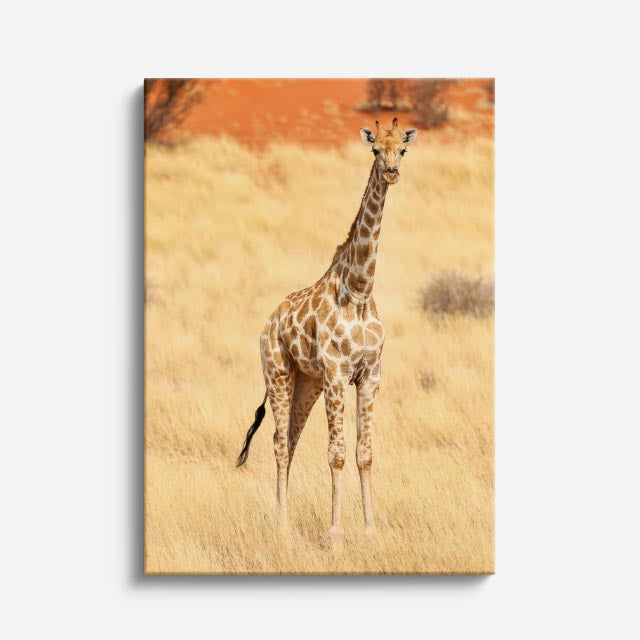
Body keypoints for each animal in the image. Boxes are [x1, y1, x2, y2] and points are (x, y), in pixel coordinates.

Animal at [236, 118, 418, 538]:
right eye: (374, 149)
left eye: (402, 149)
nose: (391, 172)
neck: (360, 290)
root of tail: (267, 323)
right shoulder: (337, 373)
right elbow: (336, 454)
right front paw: (335, 534)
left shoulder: (370, 375)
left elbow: (364, 453)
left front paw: (369, 531)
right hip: (278, 373)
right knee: (278, 442)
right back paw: (283, 526)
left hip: (308, 383)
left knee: (290, 438)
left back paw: (283, 517)